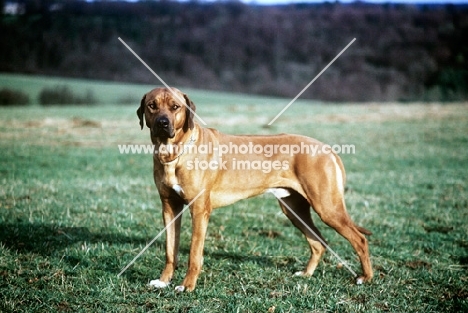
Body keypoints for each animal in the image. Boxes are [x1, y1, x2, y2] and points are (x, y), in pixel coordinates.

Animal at [136, 86, 372, 292]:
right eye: (152, 106)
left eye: (175, 107)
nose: (162, 123)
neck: (174, 153)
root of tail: (328, 149)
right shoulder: (169, 207)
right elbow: (170, 250)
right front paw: (163, 281)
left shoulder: (199, 210)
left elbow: (194, 253)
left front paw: (187, 286)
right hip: (294, 209)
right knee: (318, 242)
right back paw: (306, 274)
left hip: (327, 207)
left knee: (359, 239)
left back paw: (366, 278)